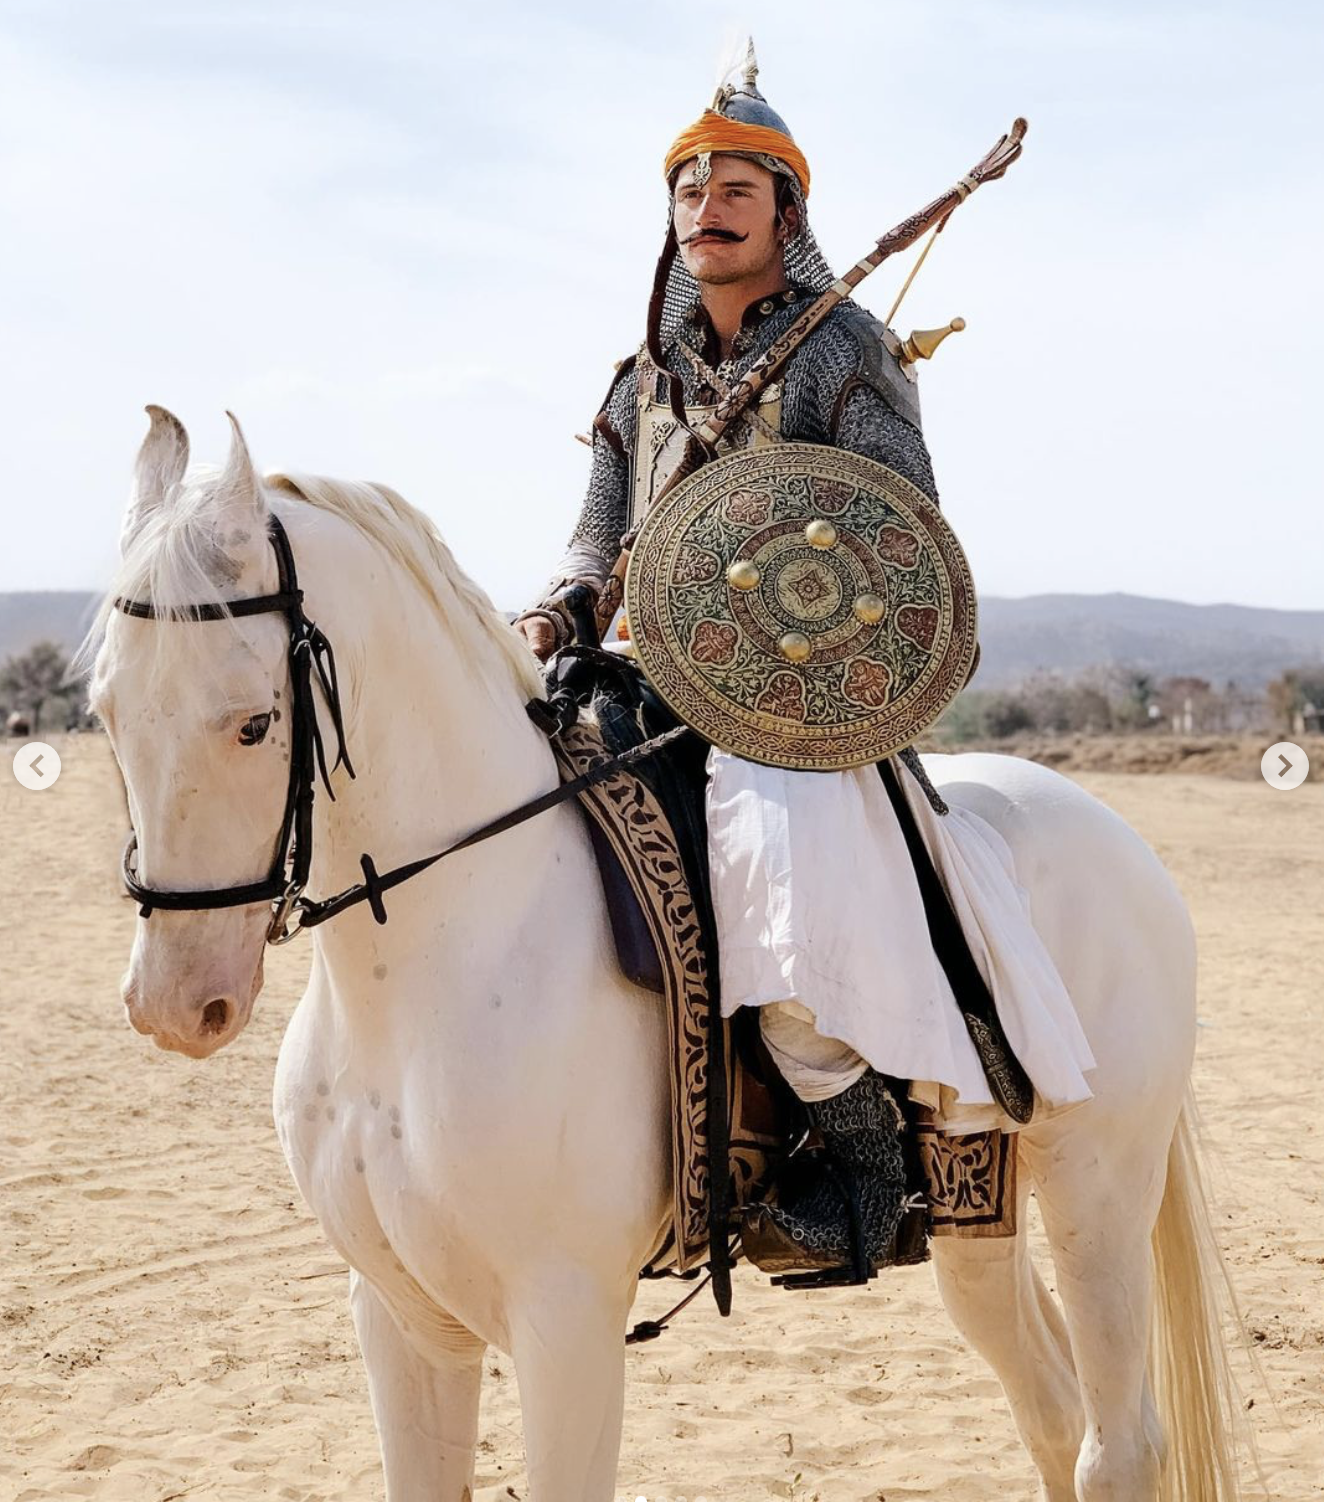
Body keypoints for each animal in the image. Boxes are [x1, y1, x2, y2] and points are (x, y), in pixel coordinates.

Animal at [85, 411, 1238, 1502]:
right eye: (104, 713)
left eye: (252, 724)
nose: (176, 1003)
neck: (424, 974)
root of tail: (1117, 836)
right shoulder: (402, 1316)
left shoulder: (567, 1320)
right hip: (974, 1200)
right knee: (1050, 1414)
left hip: (1098, 1185)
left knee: (1117, 1449)